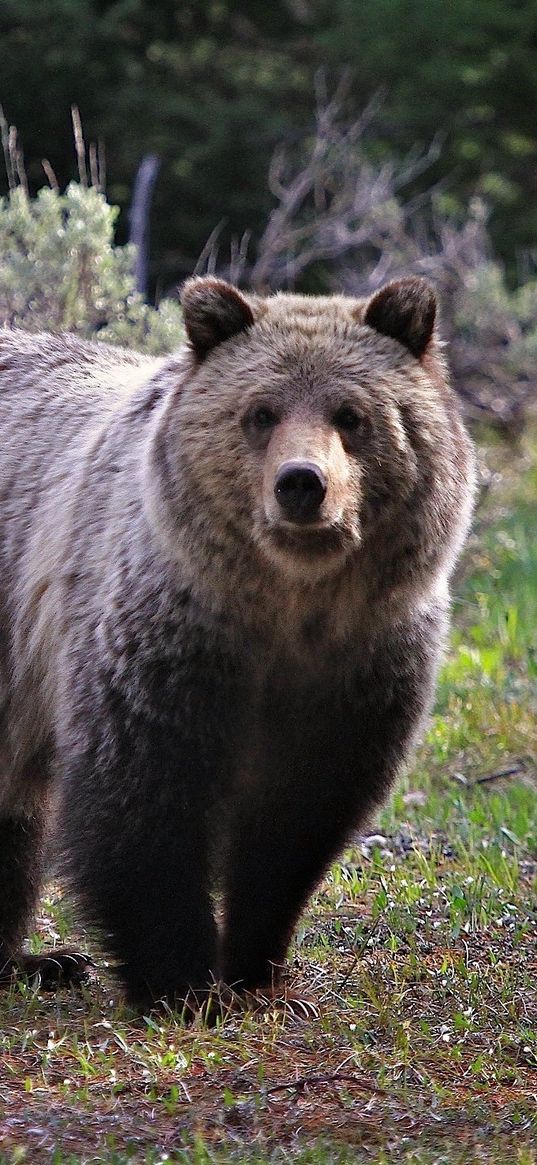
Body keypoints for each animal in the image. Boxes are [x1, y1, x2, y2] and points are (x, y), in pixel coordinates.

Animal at [0, 274, 470, 1011]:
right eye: (261, 412)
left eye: (351, 414)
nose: (302, 482)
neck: (284, 607)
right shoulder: (162, 638)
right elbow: (143, 800)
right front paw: (185, 982)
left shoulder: (360, 662)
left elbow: (296, 821)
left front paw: (259, 968)